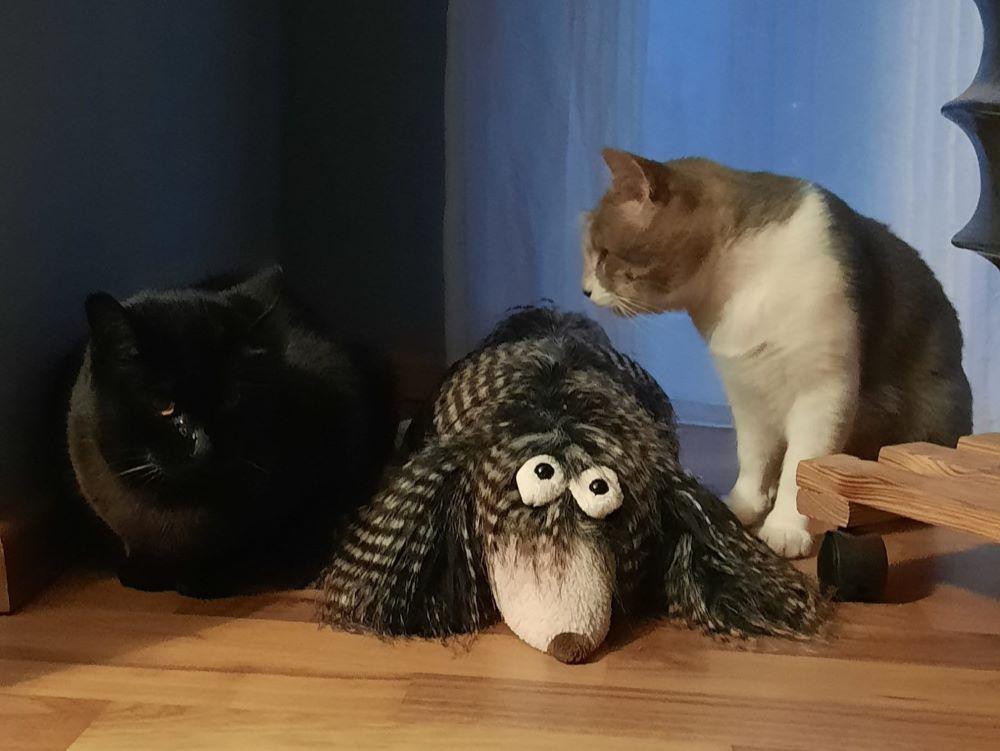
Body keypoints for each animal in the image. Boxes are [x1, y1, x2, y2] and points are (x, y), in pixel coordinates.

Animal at [67, 265, 398, 596]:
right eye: (164, 405)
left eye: (229, 397)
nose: (202, 444)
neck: (179, 514)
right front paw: (144, 571)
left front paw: (209, 579)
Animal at [582, 148, 972, 558]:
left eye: (604, 254)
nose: (585, 290)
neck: (738, 287)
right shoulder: (746, 388)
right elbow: (753, 457)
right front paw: (744, 505)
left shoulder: (823, 391)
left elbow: (801, 470)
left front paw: (785, 526)